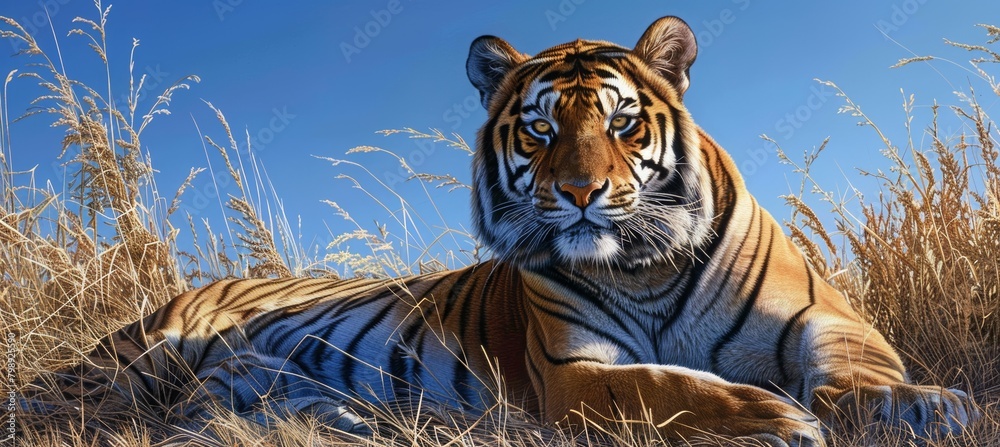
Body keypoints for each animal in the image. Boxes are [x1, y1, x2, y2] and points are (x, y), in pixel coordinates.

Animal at [26, 16, 977, 446]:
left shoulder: (831, 319)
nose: (584, 192)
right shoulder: (573, 372)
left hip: (262, 390)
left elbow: (859, 372)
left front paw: (926, 403)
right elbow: (667, 386)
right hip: (145, 355)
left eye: (623, 123)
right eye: (542, 129)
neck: (645, 266)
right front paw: (770, 416)